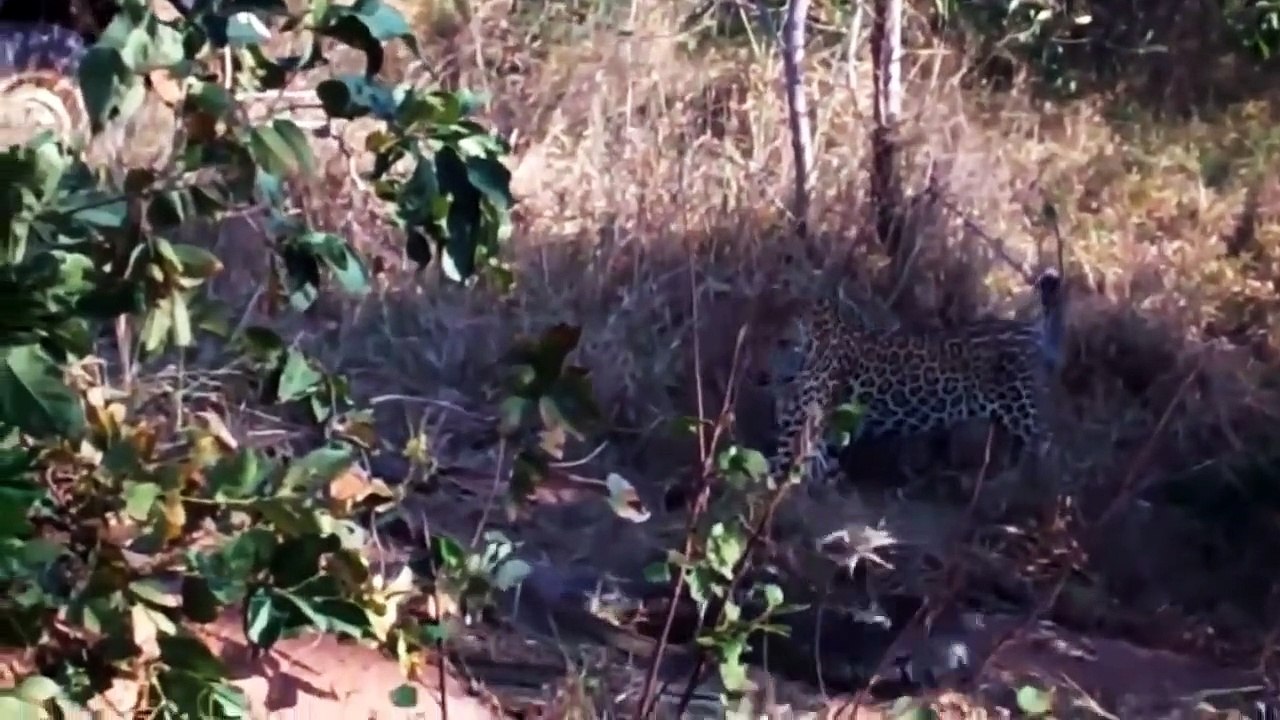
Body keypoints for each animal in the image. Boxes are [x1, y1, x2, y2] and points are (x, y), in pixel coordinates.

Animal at [766, 270, 1065, 488]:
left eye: (783, 340)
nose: (764, 375)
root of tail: (1031, 330)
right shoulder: (803, 416)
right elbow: (798, 455)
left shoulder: (813, 412)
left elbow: (797, 456)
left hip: (1023, 407)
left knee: (1052, 449)